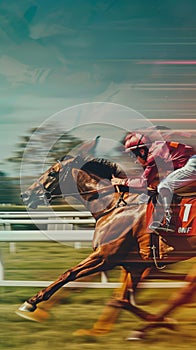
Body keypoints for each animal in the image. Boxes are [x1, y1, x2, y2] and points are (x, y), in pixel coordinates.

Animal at [17, 151, 195, 340]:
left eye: (52, 173)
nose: (25, 195)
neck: (112, 205)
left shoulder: (106, 257)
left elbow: (69, 274)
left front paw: (30, 303)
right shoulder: (135, 265)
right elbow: (122, 300)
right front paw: (167, 323)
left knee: (185, 292)